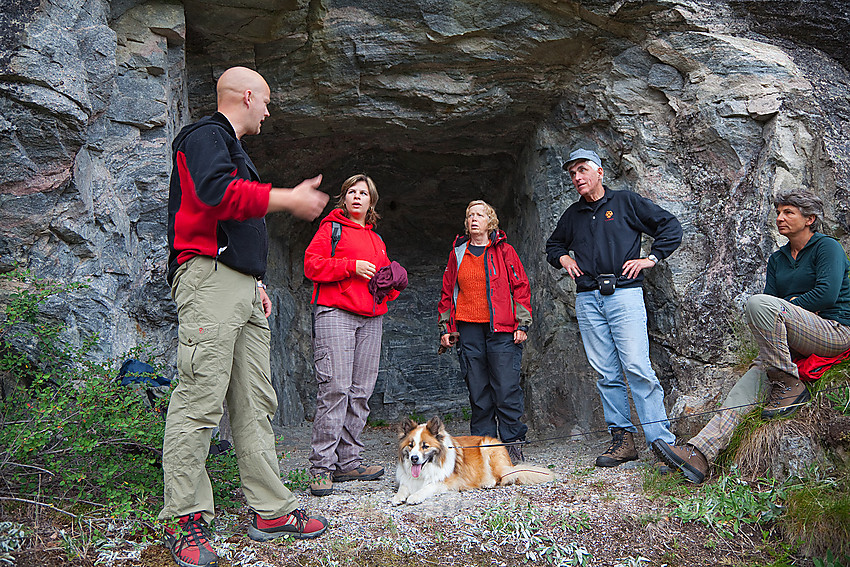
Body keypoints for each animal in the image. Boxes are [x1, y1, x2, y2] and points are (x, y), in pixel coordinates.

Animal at [392, 418, 556, 506]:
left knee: (502, 477)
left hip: (487, 447)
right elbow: (403, 487)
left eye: (425, 446)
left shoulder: (448, 482)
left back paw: (487, 482)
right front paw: (398, 497)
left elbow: (427, 487)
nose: (414, 458)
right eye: (411, 445)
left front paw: (415, 497)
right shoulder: (407, 479)